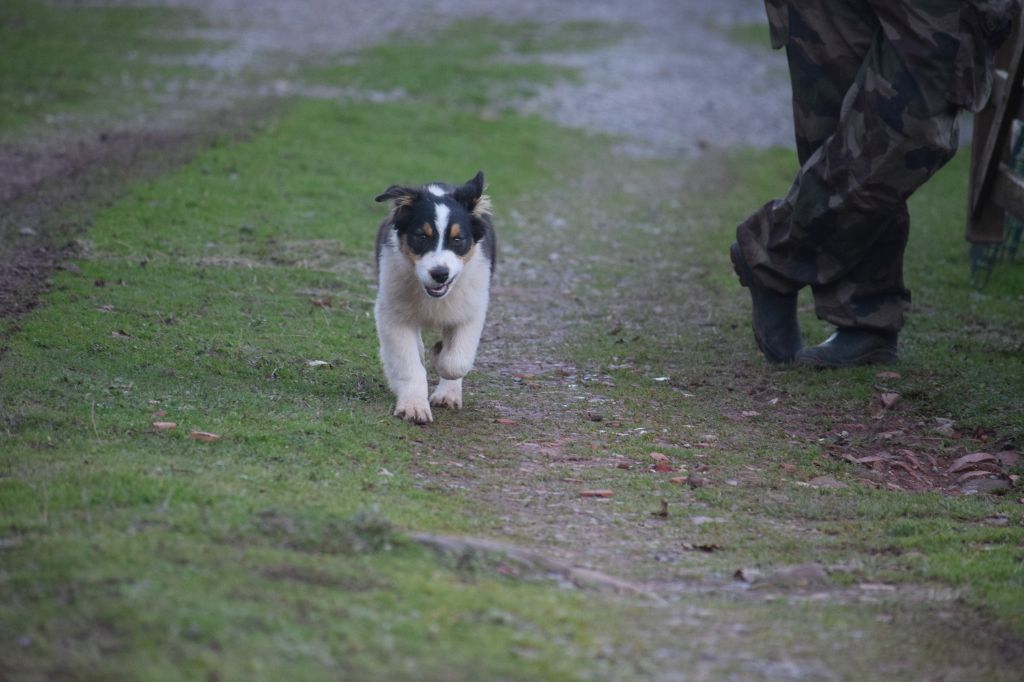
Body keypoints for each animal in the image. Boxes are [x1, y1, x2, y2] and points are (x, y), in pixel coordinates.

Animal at [373, 171, 496, 423]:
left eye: (458, 239)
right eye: (421, 236)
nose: (440, 274)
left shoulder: (472, 309)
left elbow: (456, 361)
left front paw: (439, 353)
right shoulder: (391, 313)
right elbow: (408, 363)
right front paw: (413, 407)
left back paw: (448, 395)